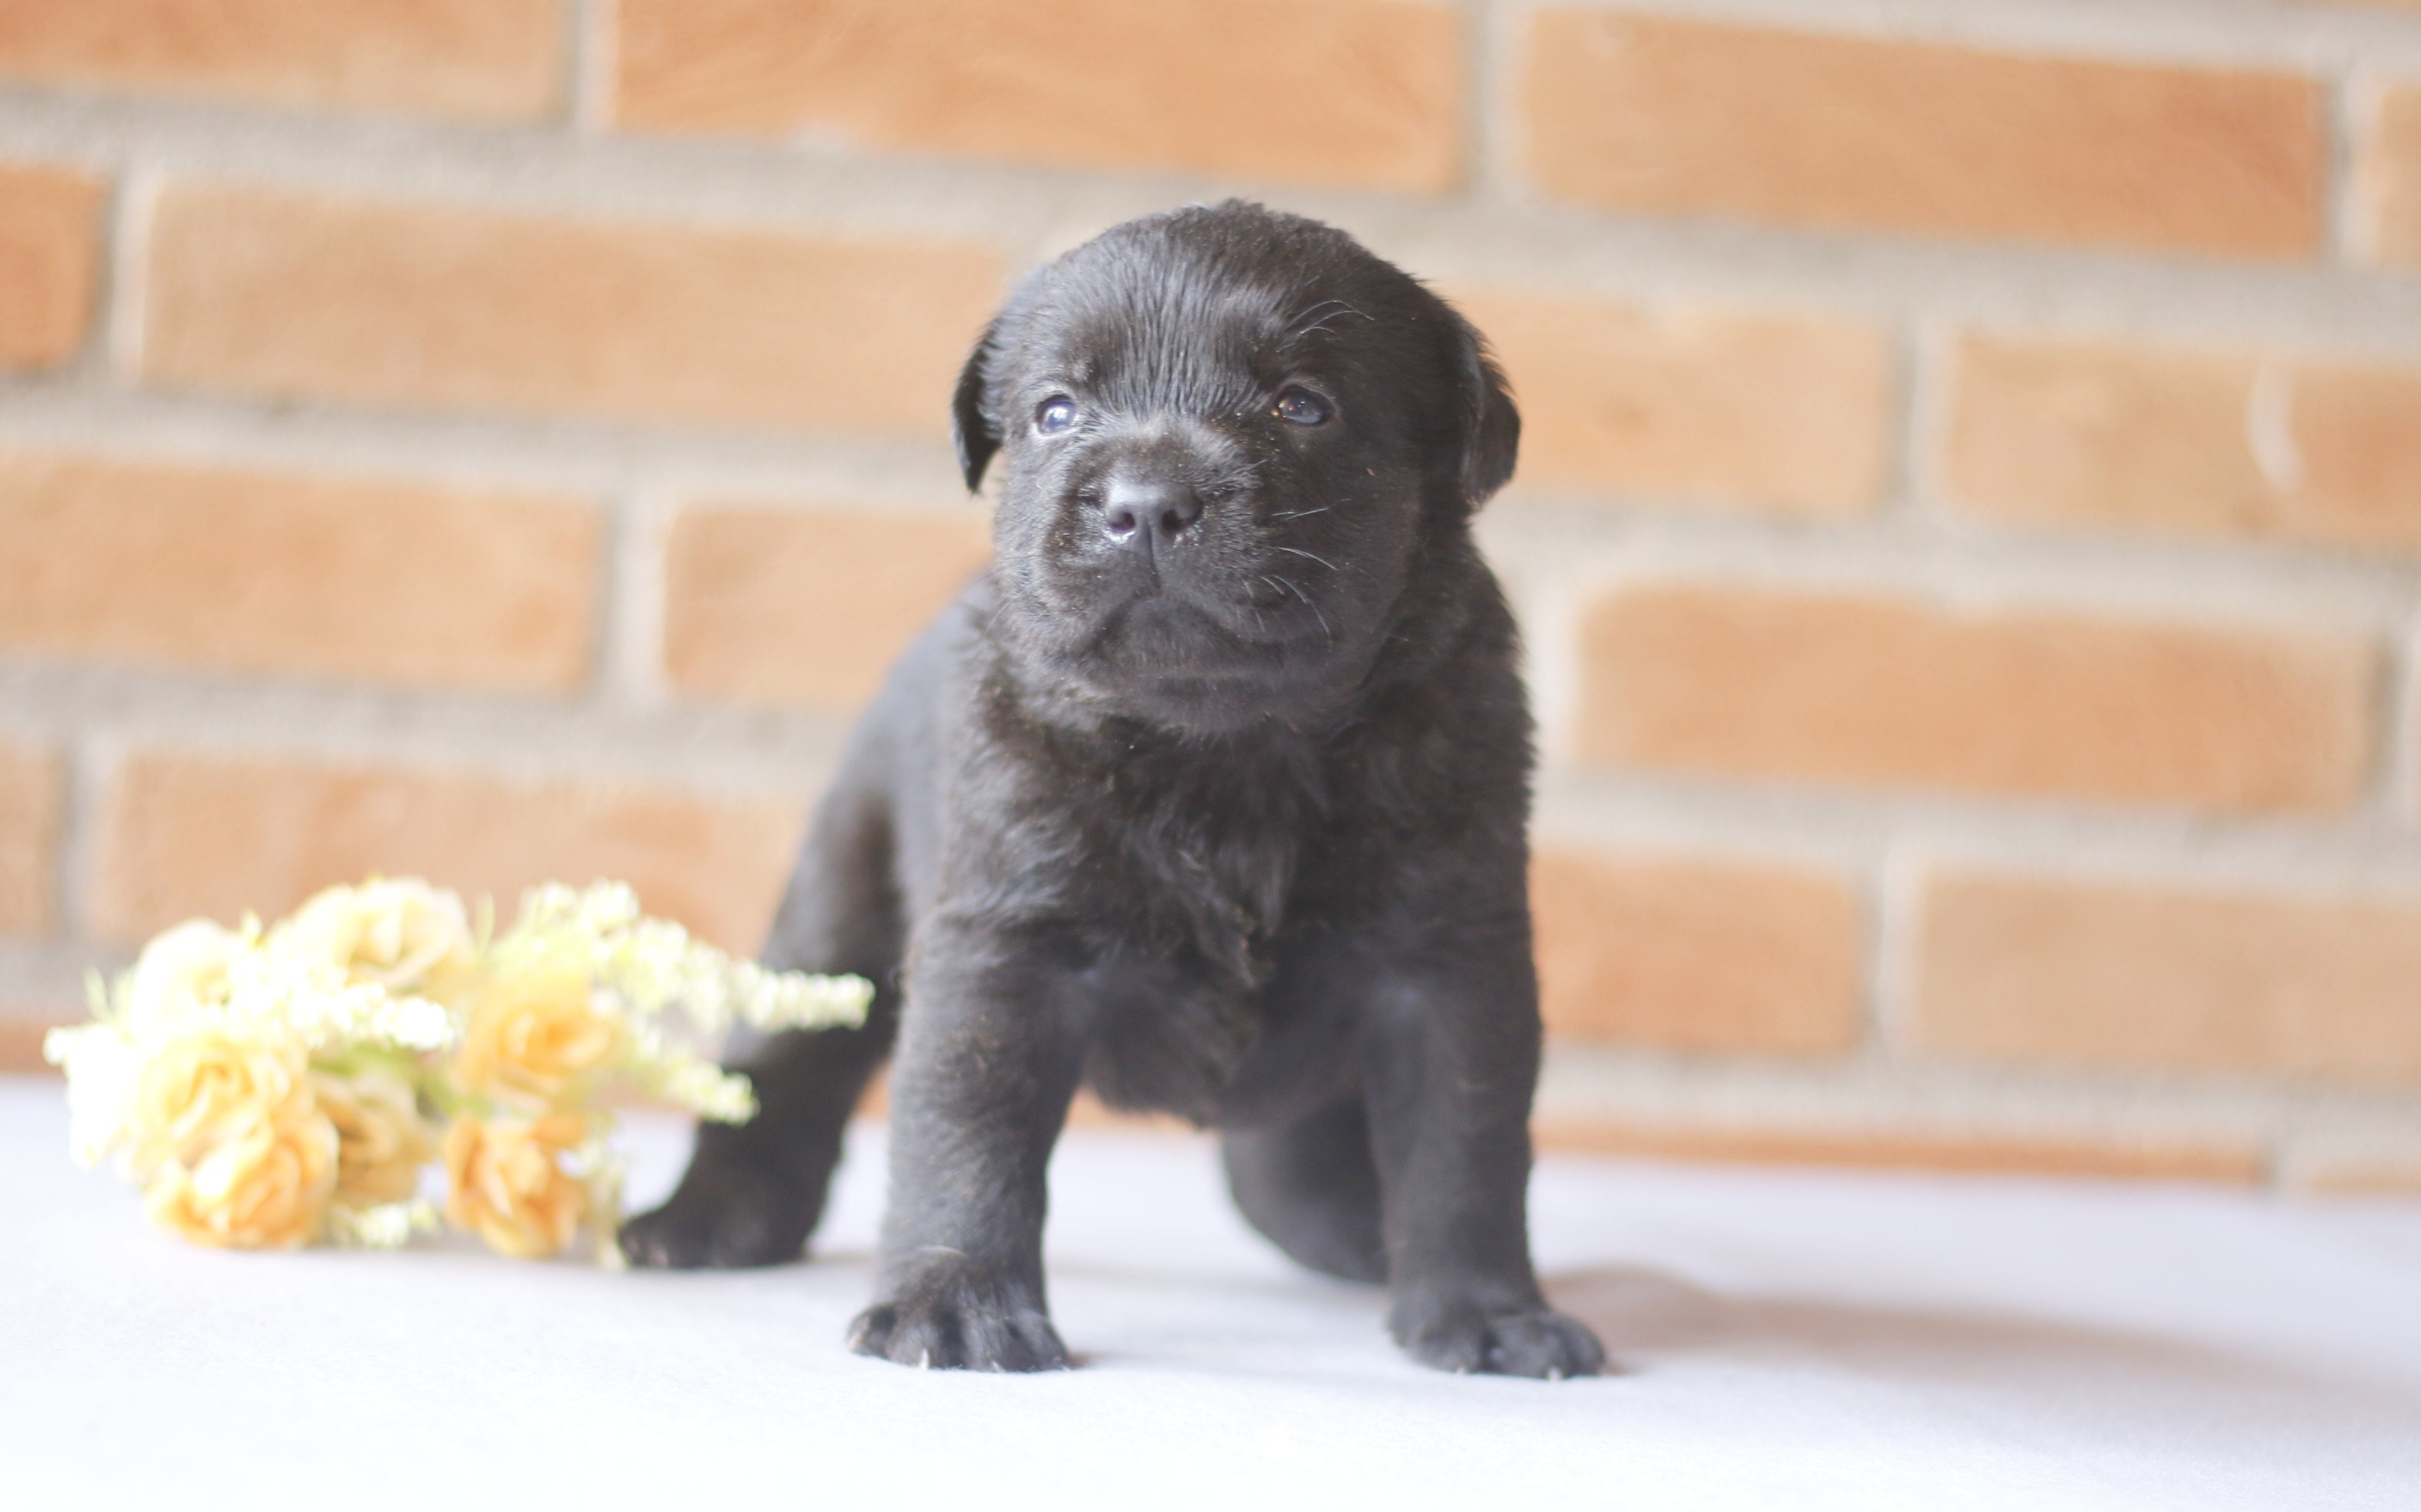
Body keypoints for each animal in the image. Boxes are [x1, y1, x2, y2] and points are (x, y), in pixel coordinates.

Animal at [625, 203, 1607, 1383]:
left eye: (1302, 405)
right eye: (1056, 412)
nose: (1146, 503)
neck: (1226, 745)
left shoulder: (1449, 966)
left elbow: (1464, 1150)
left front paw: (1485, 1311)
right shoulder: (1007, 953)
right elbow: (967, 1136)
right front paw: (956, 1304)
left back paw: (1358, 1238)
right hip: (834, 918)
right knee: (784, 1067)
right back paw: (707, 1217)